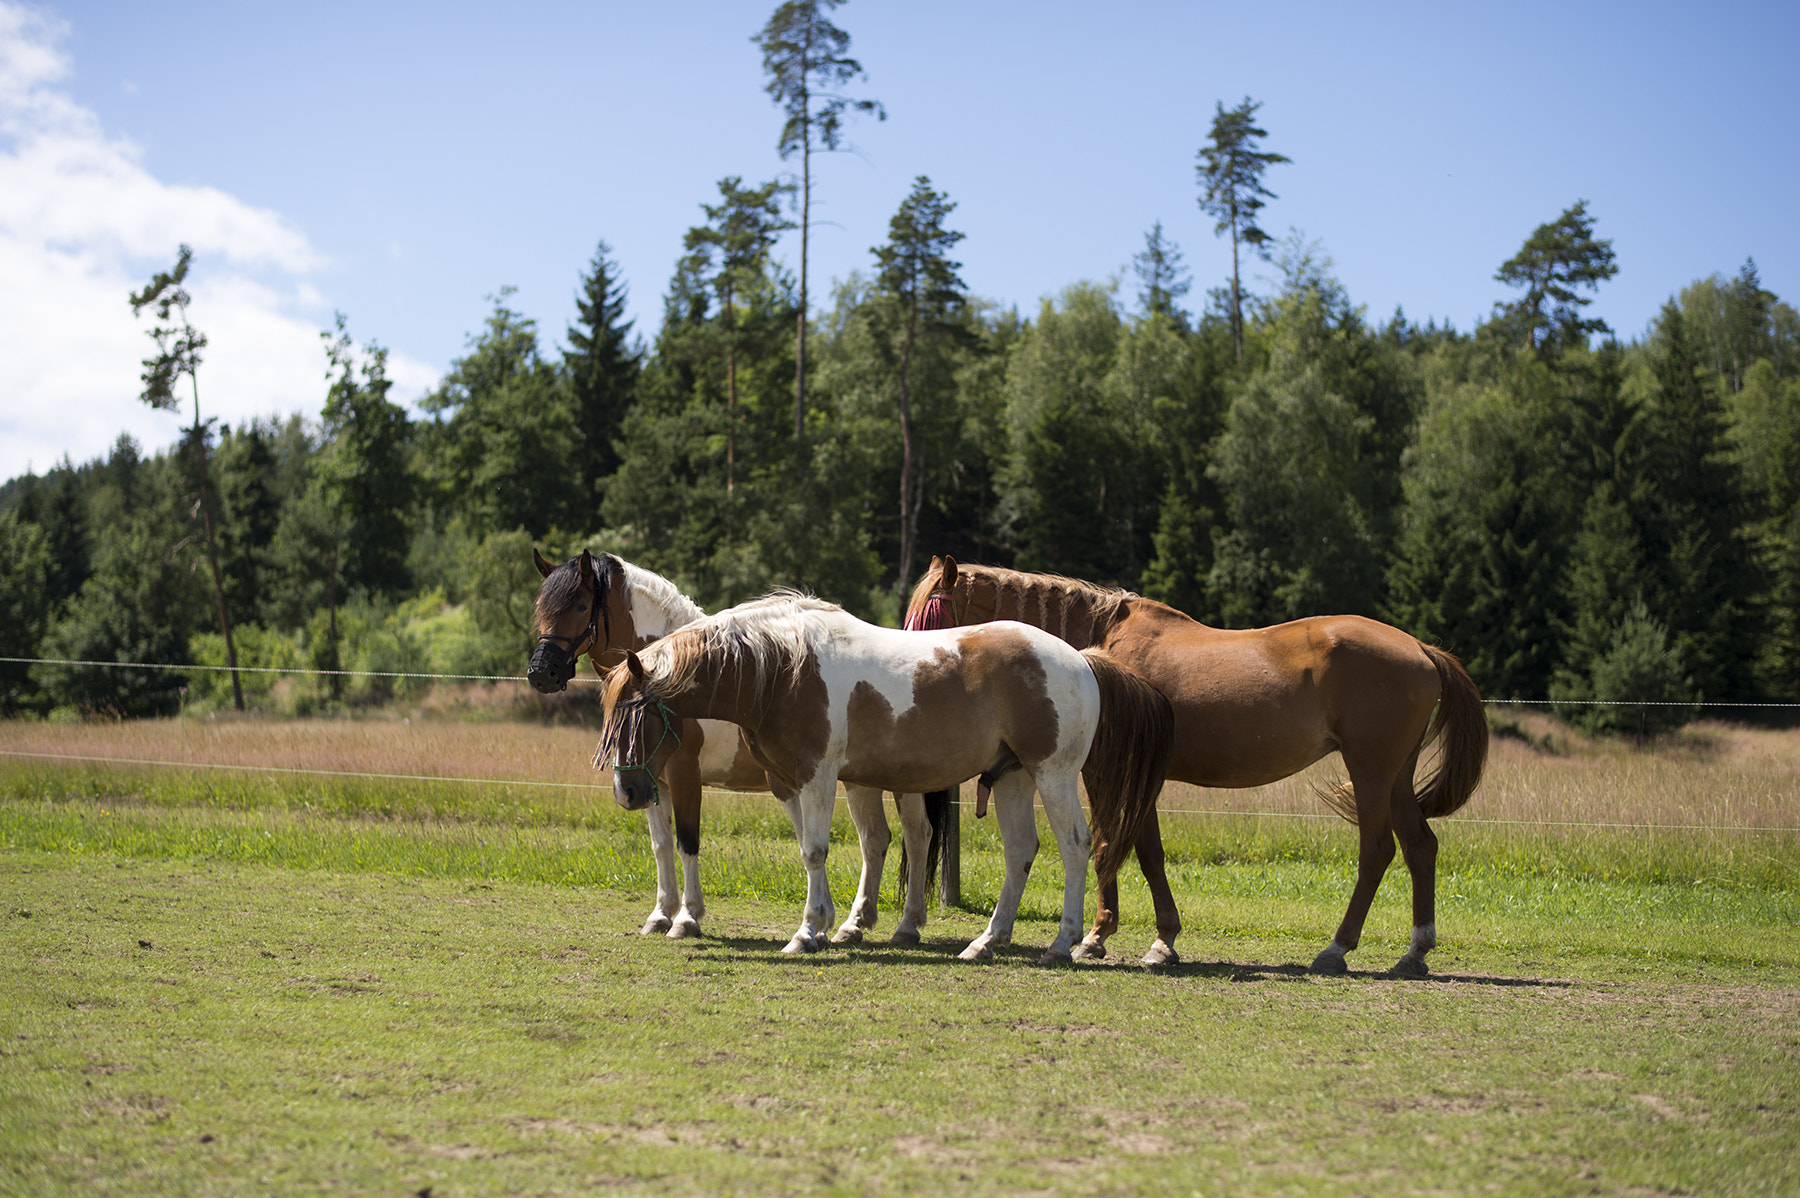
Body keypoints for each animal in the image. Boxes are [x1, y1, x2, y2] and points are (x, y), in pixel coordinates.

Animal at [525, 546, 950, 942]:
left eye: (581, 605)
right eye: (542, 608)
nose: (541, 671)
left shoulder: (684, 776)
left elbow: (688, 842)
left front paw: (687, 918)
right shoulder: (652, 779)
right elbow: (661, 845)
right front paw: (660, 914)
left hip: (899, 781)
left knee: (916, 836)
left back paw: (907, 925)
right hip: (862, 781)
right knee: (876, 840)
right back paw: (854, 924)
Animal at [597, 593, 1173, 964]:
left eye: (636, 716)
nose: (628, 792)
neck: (781, 669)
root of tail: (1083, 660)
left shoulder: (819, 776)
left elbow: (815, 851)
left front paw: (806, 932)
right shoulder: (789, 782)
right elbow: (814, 848)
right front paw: (829, 925)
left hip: (1052, 774)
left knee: (1074, 845)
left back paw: (1062, 943)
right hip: (1013, 777)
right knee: (1020, 851)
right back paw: (986, 941)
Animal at [900, 554, 1490, 978]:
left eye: (930, 614)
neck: (1099, 648)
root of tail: (1421, 648)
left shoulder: (1112, 773)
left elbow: (1121, 848)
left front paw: (1106, 937)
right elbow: (1139, 851)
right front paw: (1143, 938)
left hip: (1370, 772)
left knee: (1377, 852)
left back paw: (1336, 949)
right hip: (1396, 777)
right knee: (1420, 847)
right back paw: (1414, 952)